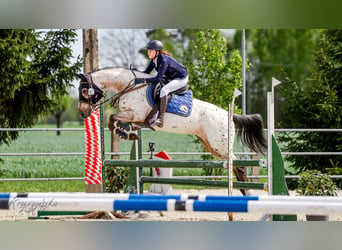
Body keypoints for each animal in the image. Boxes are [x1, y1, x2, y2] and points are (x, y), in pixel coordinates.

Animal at [77, 67, 268, 195]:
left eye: (85, 90)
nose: (83, 113)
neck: (130, 86)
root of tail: (230, 115)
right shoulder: (135, 116)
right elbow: (114, 121)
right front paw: (130, 133)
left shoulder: (135, 113)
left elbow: (113, 119)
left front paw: (126, 133)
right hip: (211, 145)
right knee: (234, 166)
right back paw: (244, 193)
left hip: (219, 145)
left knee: (239, 166)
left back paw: (248, 193)